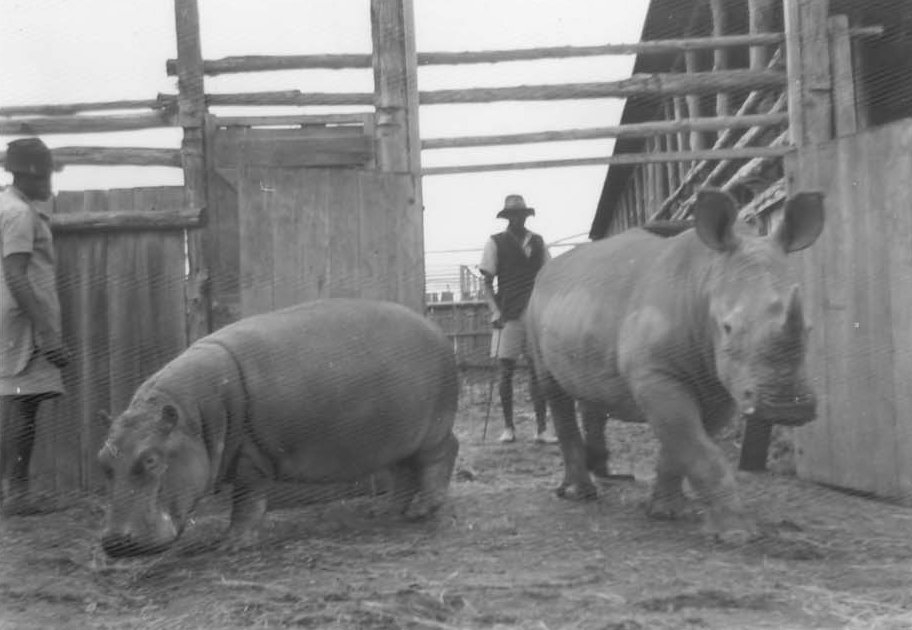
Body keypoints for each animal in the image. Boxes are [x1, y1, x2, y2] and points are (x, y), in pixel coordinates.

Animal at [97, 299, 459, 557]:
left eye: (151, 459)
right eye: (102, 461)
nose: (114, 542)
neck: (192, 418)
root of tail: (437, 330)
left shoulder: (249, 458)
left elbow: (246, 502)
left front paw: (231, 545)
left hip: (433, 431)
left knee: (441, 457)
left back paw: (423, 511)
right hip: (401, 437)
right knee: (403, 473)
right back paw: (382, 511)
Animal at [526, 188, 824, 540]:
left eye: (809, 328)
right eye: (727, 328)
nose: (787, 407)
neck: (704, 279)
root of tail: (546, 271)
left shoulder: (717, 385)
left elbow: (681, 444)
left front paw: (666, 512)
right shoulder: (656, 375)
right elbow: (697, 448)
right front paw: (737, 533)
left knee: (589, 388)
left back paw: (602, 475)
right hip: (533, 309)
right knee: (553, 388)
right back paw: (579, 494)